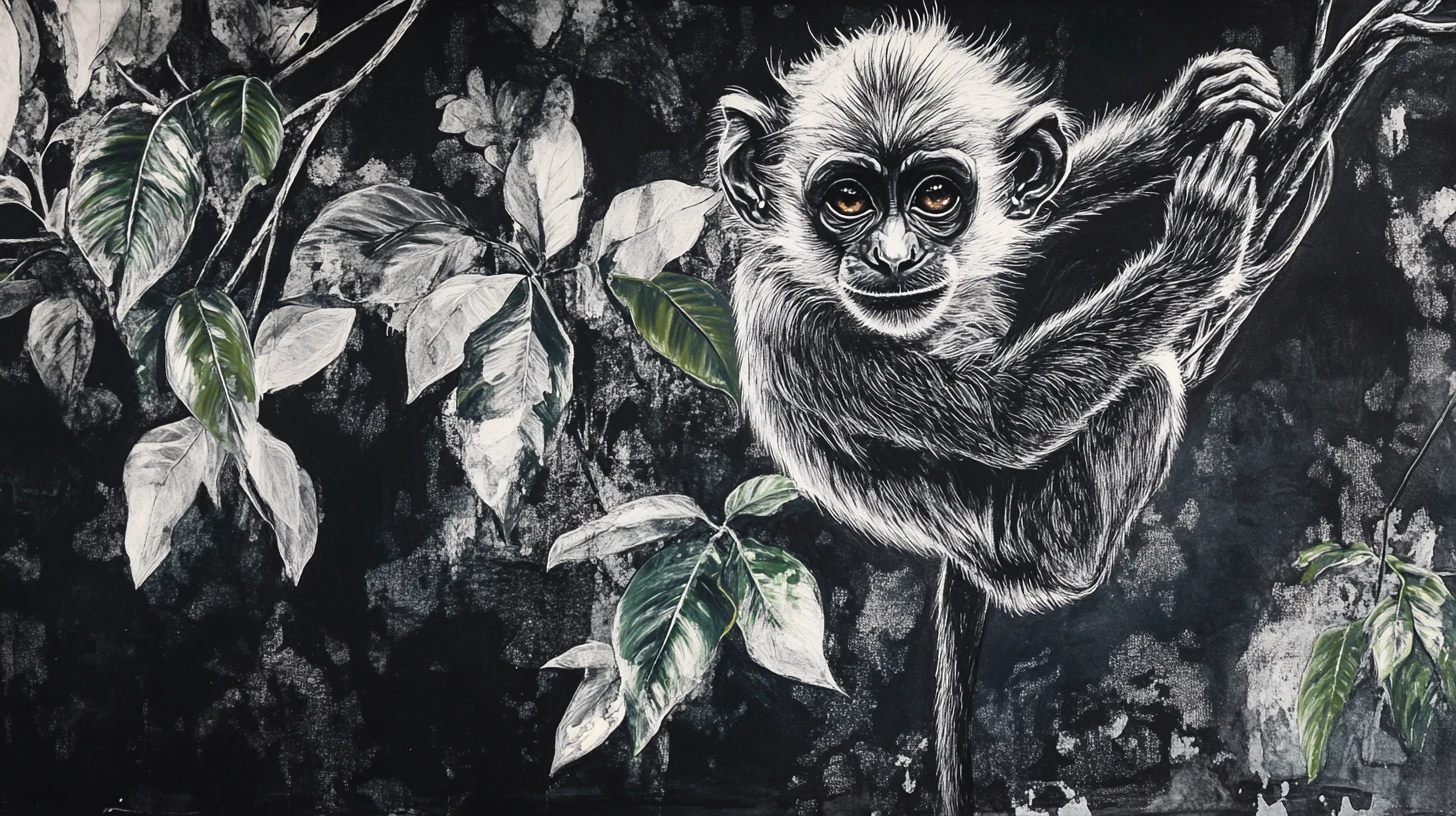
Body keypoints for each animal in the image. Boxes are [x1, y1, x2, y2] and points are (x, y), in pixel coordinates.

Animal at [711, 14, 1282, 815]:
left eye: (935, 198)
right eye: (848, 201)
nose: (892, 257)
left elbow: (1041, 207)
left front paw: (1185, 115)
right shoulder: (803, 333)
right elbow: (1005, 421)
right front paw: (1195, 247)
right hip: (1042, 541)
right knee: (1146, 383)